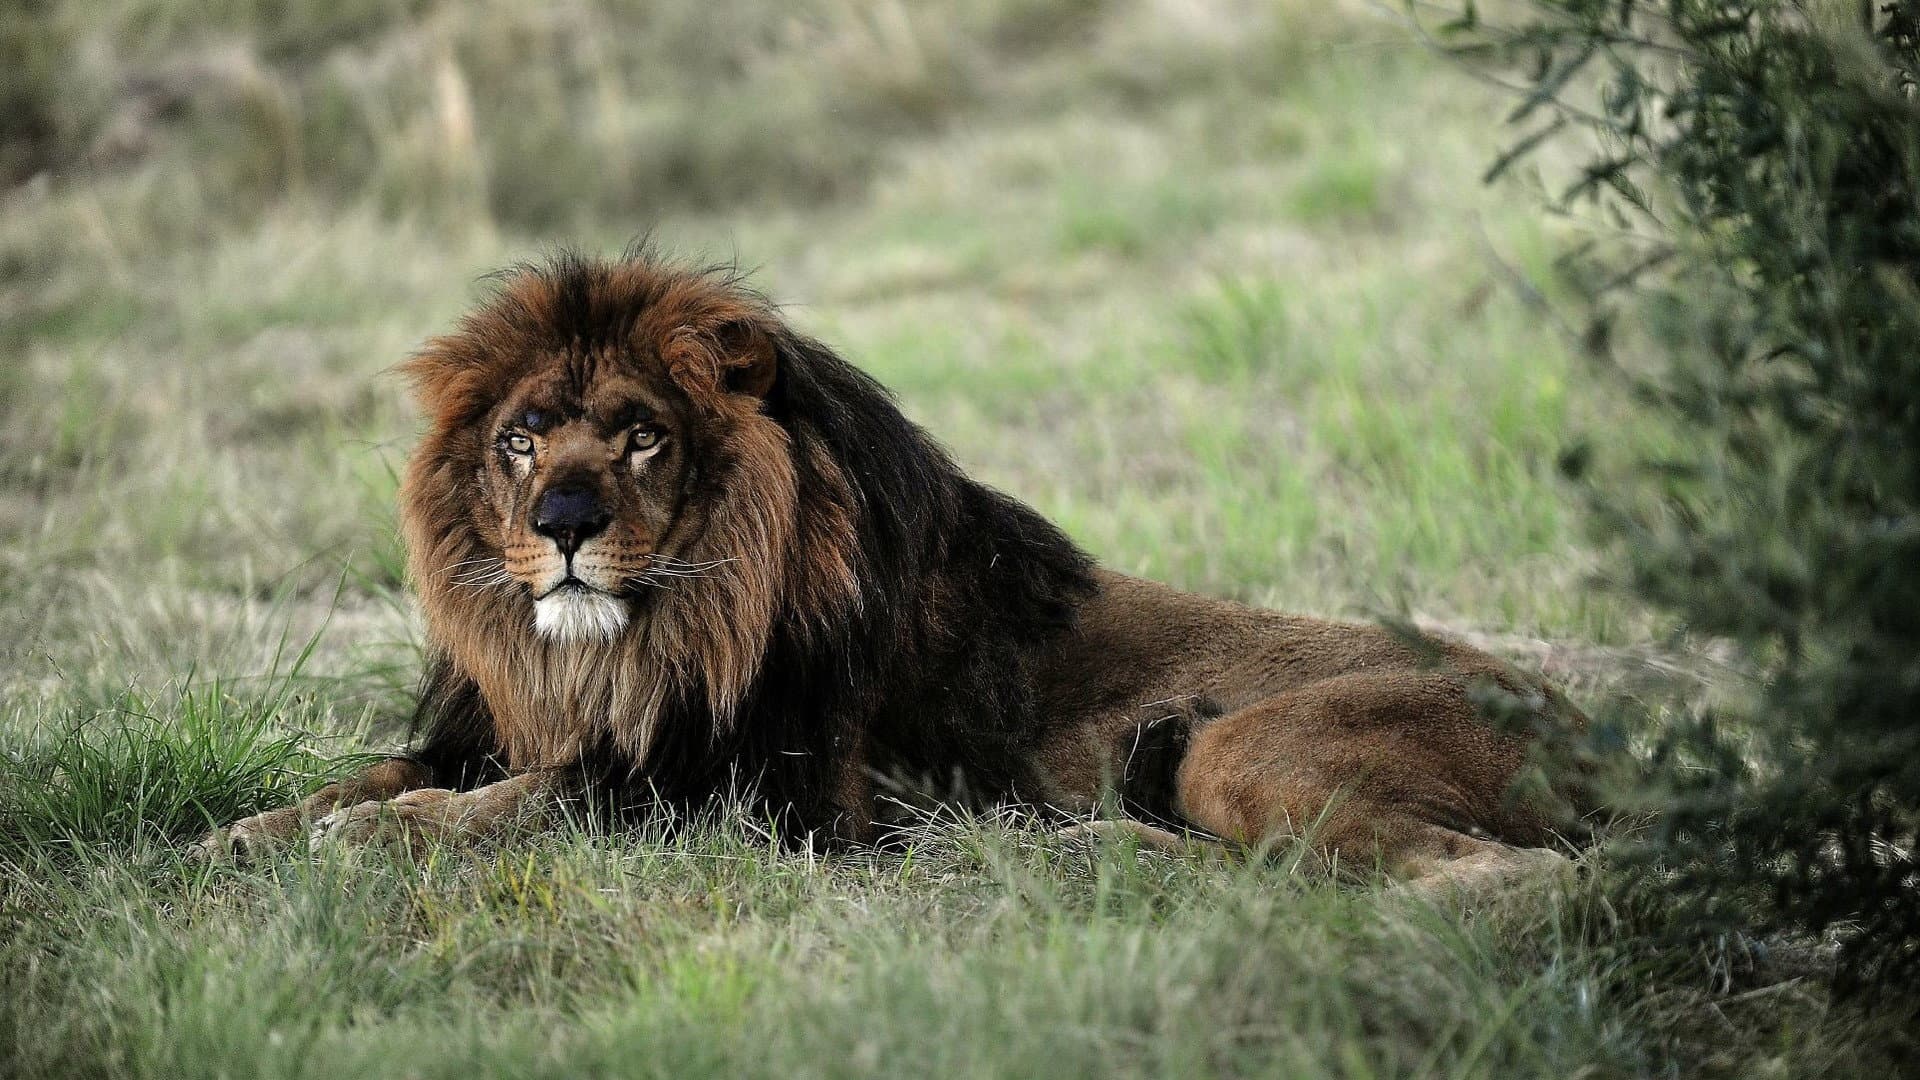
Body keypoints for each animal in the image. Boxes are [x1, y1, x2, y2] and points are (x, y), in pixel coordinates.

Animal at [198, 249, 1593, 889]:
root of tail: (1604, 735)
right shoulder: (506, 726)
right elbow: (384, 774)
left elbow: (543, 799)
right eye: (522, 439)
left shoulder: (779, 800)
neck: (627, 651)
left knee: (1501, 877)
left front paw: (378, 840)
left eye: (643, 436)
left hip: (1249, 746)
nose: (565, 524)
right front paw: (244, 833)